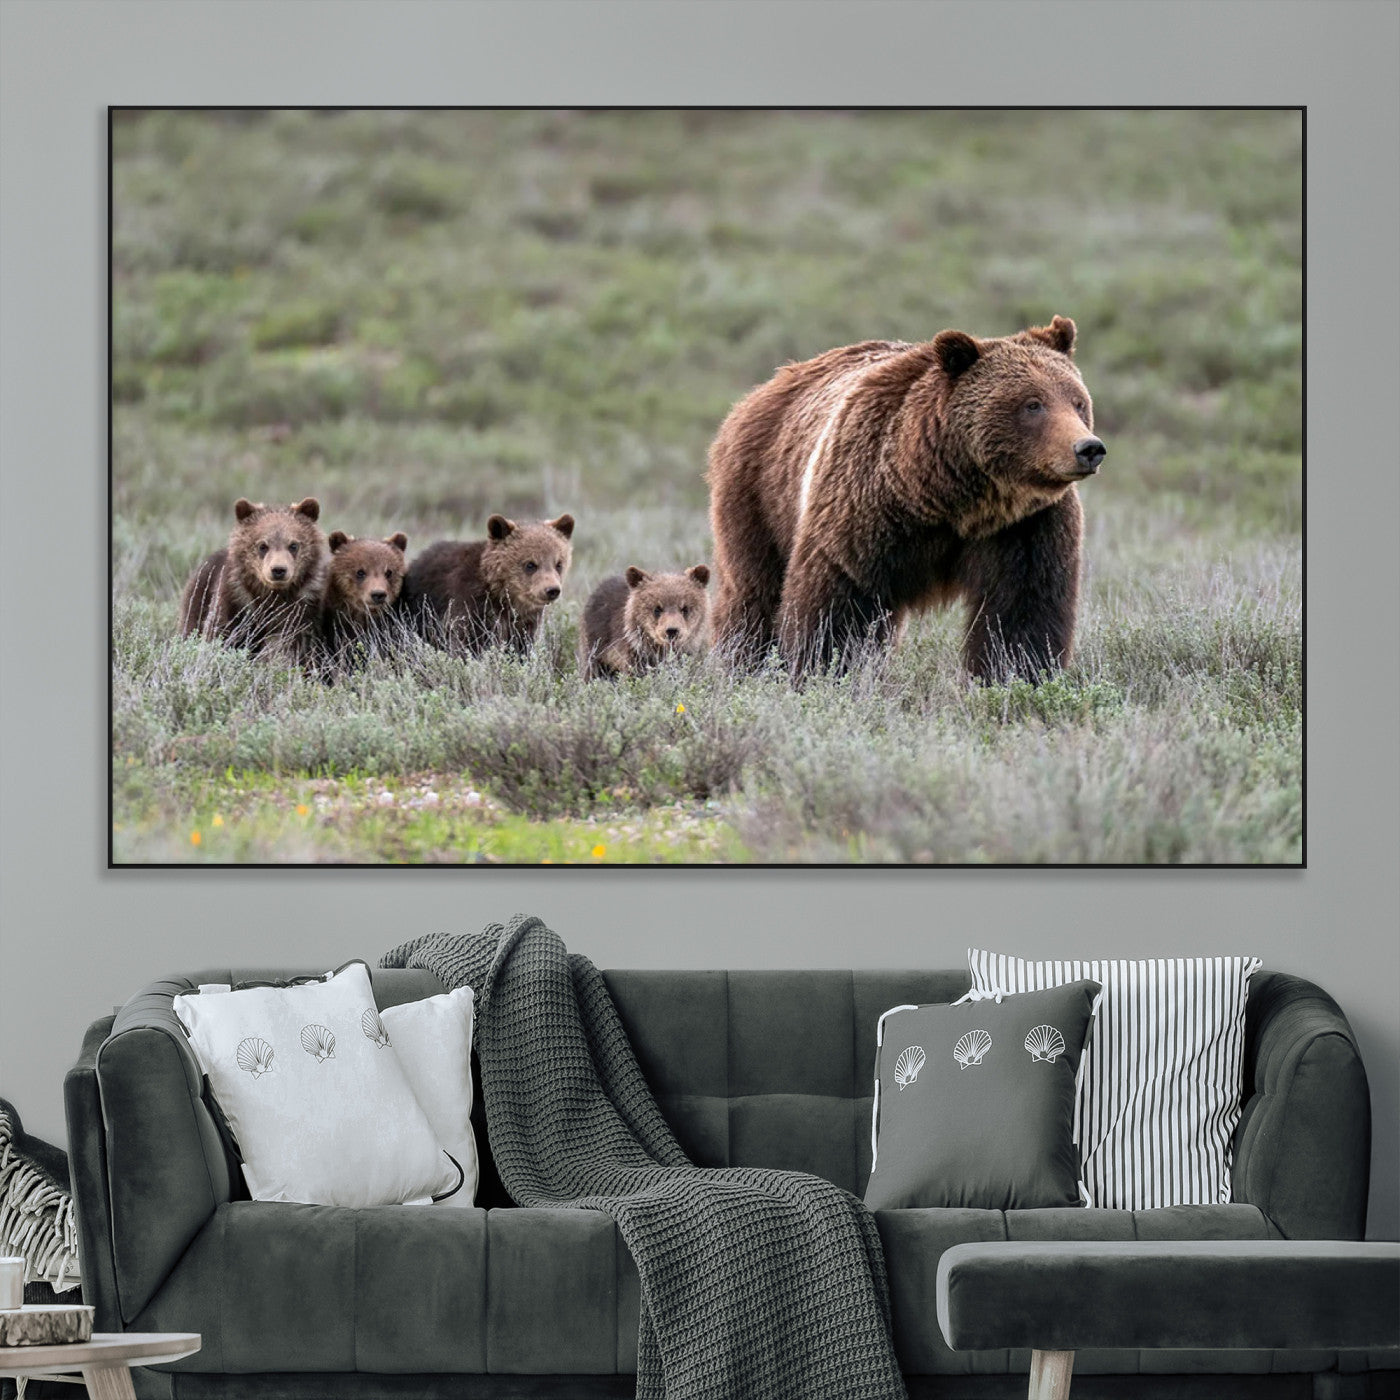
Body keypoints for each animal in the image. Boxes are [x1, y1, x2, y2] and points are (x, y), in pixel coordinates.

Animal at [178, 497, 329, 661]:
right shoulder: (236, 600)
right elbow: (220, 632)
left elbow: (298, 643)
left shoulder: (303, 607)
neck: (273, 594)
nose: (278, 570)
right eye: (262, 545)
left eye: (293, 545)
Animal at [401, 513, 575, 654]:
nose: (552, 590)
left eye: (559, 564)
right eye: (530, 564)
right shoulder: (470, 606)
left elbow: (521, 646)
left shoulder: (524, 621)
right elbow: (468, 642)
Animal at [705, 315, 1104, 682]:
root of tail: (766, 387)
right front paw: (824, 672)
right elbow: (837, 604)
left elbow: (1023, 611)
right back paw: (743, 662)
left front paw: (1015, 676)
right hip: (760, 493)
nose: (1088, 448)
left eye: (1077, 402)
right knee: (753, 592)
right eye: (1032, 404)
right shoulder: (864, 509)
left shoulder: (1025, 525)